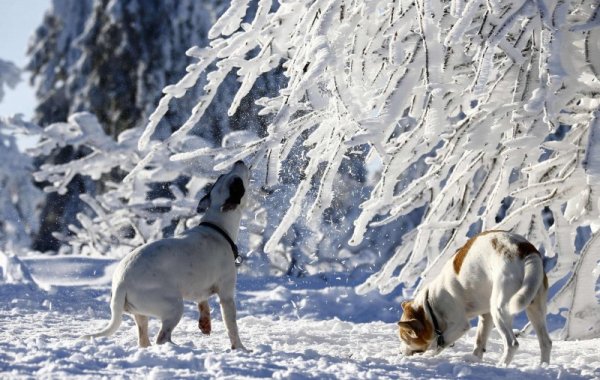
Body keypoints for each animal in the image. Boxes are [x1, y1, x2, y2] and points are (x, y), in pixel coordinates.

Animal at [82, 160, 248, 350]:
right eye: (237, 183)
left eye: (221, 177)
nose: (239, 161)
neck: (217, 227)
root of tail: (121, 283)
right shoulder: (226, 295)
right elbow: (232, 326)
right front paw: (240, 348)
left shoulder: (199, 290)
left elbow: (203, 303)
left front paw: (205, 324)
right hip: (174, 306)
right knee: (162, 337)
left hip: (141, 314)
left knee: (144, 339)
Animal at [398, 230, 552, 366]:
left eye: (405, 338)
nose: (400, 353)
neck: (430, 306)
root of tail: (525, 249)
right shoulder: (486, 316)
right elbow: (479, 341)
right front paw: (474, 360)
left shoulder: (460, 324)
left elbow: (439, 342)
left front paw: (428, 355)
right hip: (534, 308)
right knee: (546, 342)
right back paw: (542, 366)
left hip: (500, 310)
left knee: (512, 344)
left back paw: (501, 365)